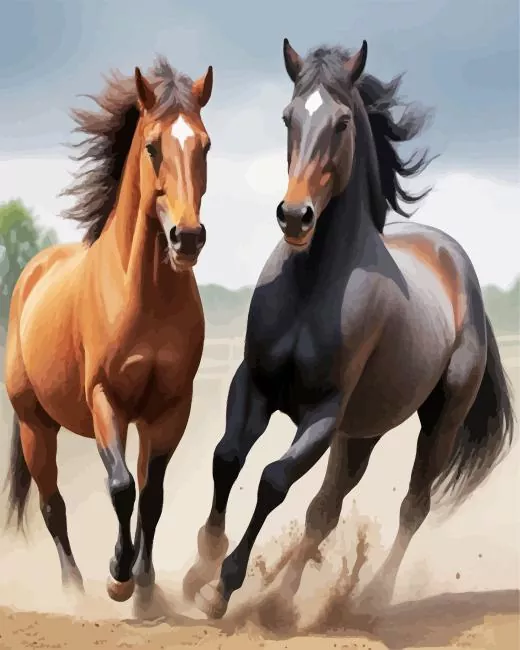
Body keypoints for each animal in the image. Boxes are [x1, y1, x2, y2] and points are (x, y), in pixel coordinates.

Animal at [4, 55, 214, 603]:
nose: (187, 238)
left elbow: (152, 495)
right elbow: (121, 488)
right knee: (52, 504)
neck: (144, 295)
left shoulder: (170, 407)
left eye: (205, 145)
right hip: (36, 426)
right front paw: (119, 576)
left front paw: (145, 582)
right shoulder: (105, 399)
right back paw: (74, 588)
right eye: (153, 145)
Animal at [182, 39, 516, 620]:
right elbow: (228, 458)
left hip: (438, 423)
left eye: (340, 123)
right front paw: (199, 567)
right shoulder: (254, 385)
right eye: (288, 116)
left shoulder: (323, 412)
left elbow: (272, 481)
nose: (295, 216)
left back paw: (367, 596)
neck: (314, 286)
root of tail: (458, 265)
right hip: (363, 432)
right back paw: (282, 595)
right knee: (328, 508)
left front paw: (225, 584)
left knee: (412, 504)